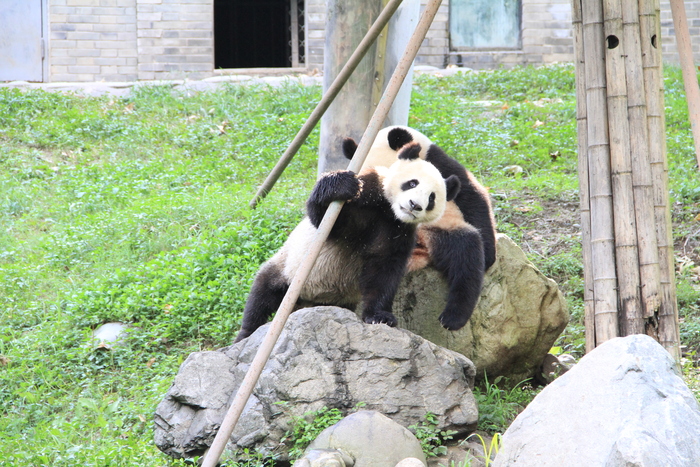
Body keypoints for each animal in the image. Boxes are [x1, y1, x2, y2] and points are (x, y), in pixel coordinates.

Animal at [234, 143, 460, 344]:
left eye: (432, 198)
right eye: (412, 183)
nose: (414, 205)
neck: (389, 210)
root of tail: (304, 302)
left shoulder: (400, 230)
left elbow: (384, 270)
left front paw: (380, 316)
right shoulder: (368, 193)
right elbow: (327, 220)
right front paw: (338, 185)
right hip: (287, 267)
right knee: (263, 295)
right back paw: (246, 334)